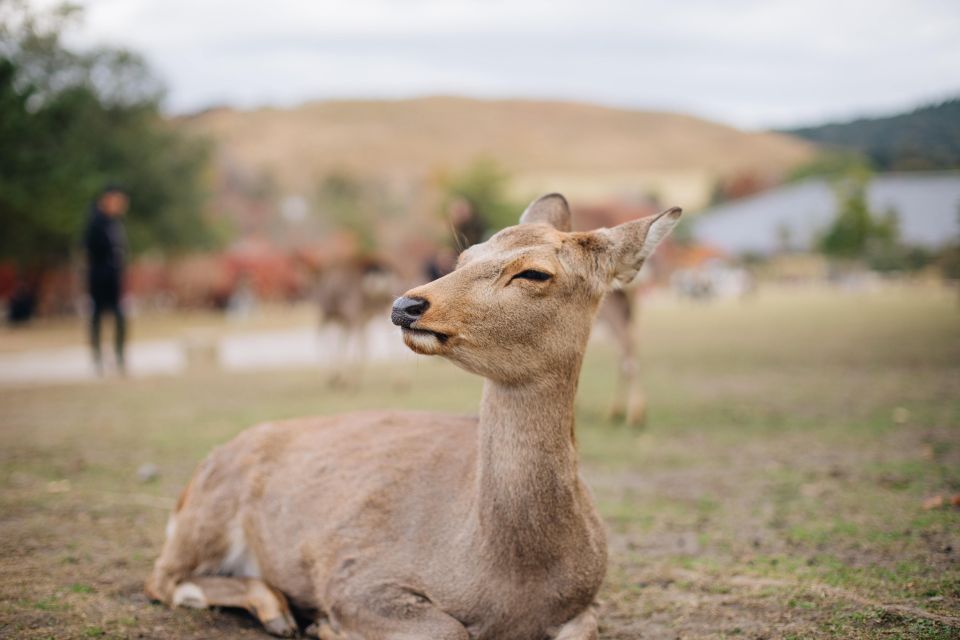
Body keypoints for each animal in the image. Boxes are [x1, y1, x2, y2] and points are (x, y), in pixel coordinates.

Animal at [146, 195, 680, 640]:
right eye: (464, 257)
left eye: (534, 273)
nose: (406, 304)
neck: (511, 579)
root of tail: (194, 479)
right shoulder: (358, 573)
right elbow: (447, 630)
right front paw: (331, 626)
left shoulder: (586, 603)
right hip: (207, 516)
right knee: (163, 578)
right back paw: (281, 612)